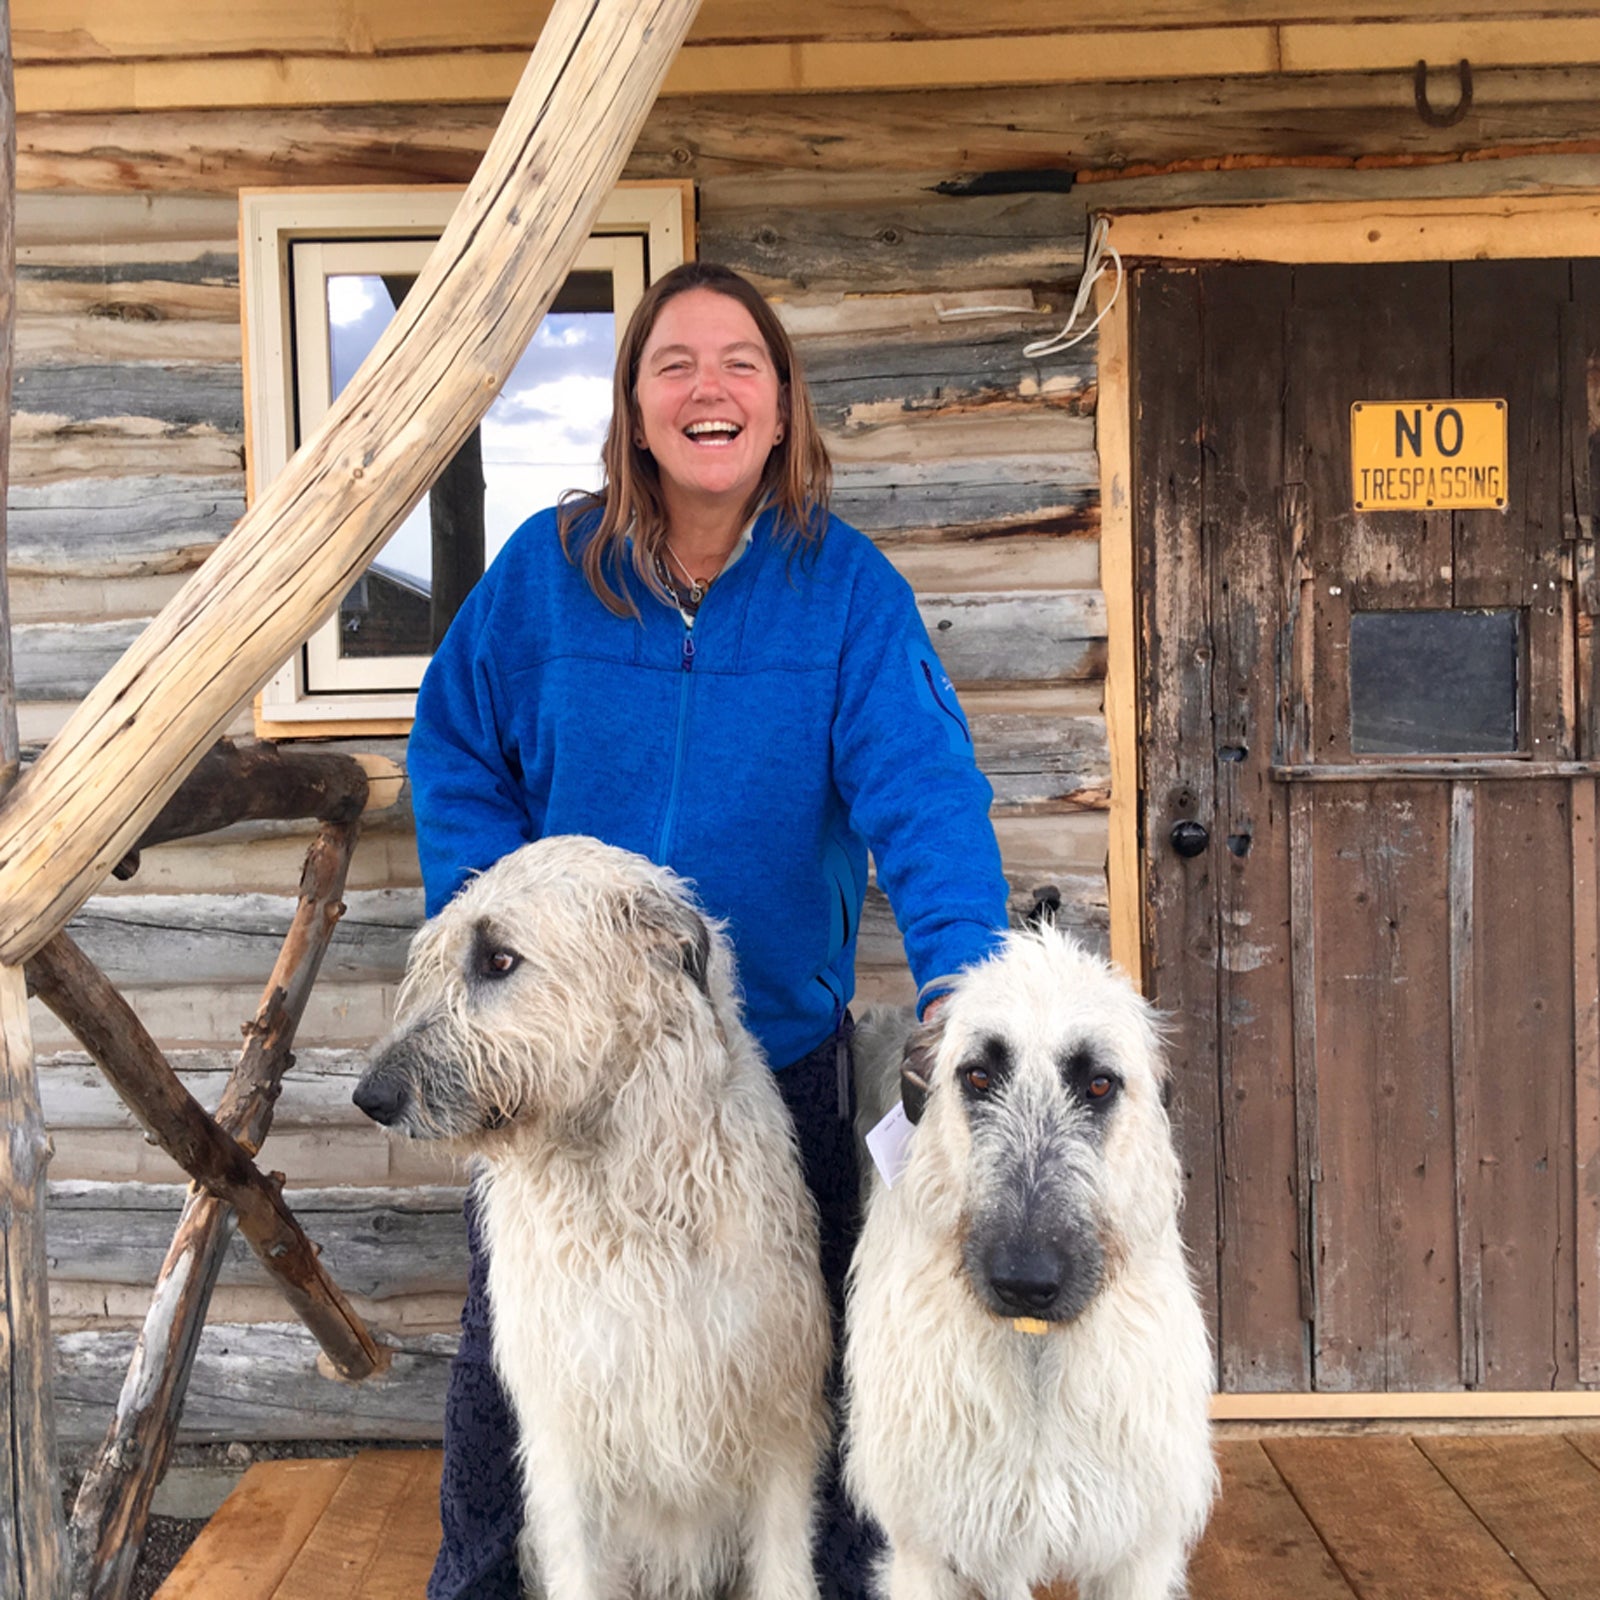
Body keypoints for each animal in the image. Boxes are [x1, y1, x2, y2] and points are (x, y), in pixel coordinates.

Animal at [356, 838, 832, 1600]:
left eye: (498, 960)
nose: (370, 1096)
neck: (626, 1197)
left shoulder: (778, 1416)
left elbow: (784, 1569)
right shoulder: (565, 1436)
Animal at [844, 928, 1203, 1600]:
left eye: (1099, 1084)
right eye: (979, 1075)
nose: (1025, 1282)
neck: (1035, 1354)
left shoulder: (1135, 1546)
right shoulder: (930, 1548)